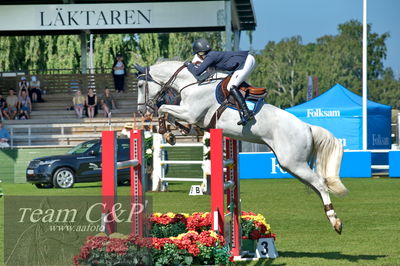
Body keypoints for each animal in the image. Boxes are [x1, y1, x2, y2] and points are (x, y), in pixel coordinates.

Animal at [134, 59, 346, 233]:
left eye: (140, 85)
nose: (142, 111)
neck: (193, 84)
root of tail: (307, 127)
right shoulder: (192, 116)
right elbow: (171, 115)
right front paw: (173, 133)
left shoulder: (190, 113)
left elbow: (164, 108)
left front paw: (167, 131)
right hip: (291, 165)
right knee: (317, 186)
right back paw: (331, 216)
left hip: (294, 163)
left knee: (320, 184)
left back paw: (335, 221)